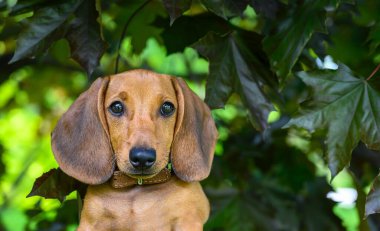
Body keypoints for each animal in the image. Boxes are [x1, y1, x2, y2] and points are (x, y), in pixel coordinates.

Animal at [51, 69, 217, 230]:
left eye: (167, 107)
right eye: (116, 107)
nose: (142, 157)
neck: (137, 190)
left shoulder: (188, 219)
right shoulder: (90, 223)